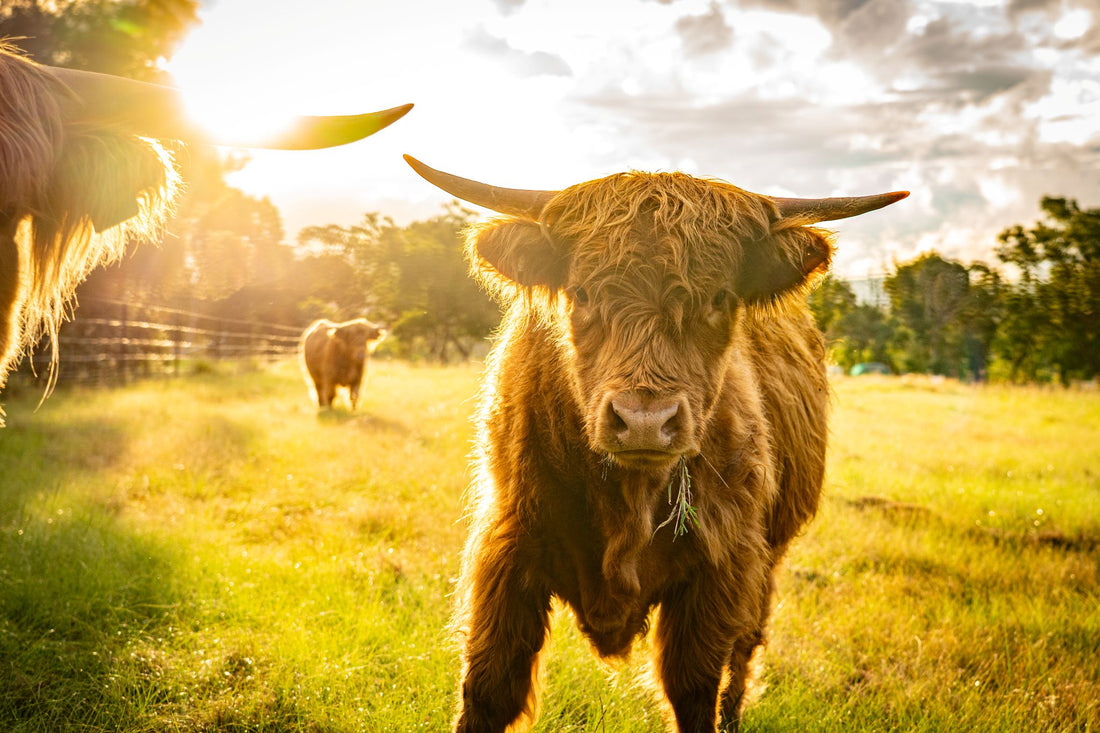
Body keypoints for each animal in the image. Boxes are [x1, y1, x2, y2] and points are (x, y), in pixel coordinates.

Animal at [404, 154, 907, 733]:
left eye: (719, 298)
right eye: (582, 293)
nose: (645, 421)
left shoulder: (721, 567)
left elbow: (694, 688)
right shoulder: (507, 551)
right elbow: (489, 686)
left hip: (768, 559)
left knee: (746, 648)